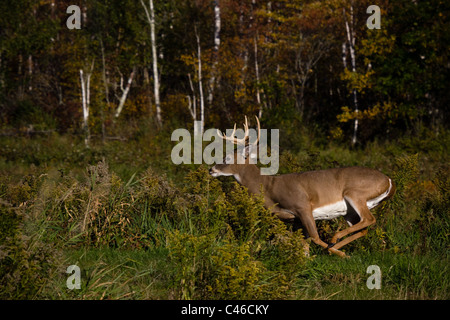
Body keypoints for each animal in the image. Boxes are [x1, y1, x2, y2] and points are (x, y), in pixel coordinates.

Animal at [209, 115, 396, 258]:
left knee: (369, 219)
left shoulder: (302, 205)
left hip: (355, 193)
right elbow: (304, 242)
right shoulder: (296, 218)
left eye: (227, 158)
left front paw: (339, 253)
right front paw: (306, 260)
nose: (211, 169)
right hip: (349, 211)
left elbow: (314, 237)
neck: (269, 187)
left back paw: (335, 241)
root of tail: (388, 180)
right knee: (364, 228)